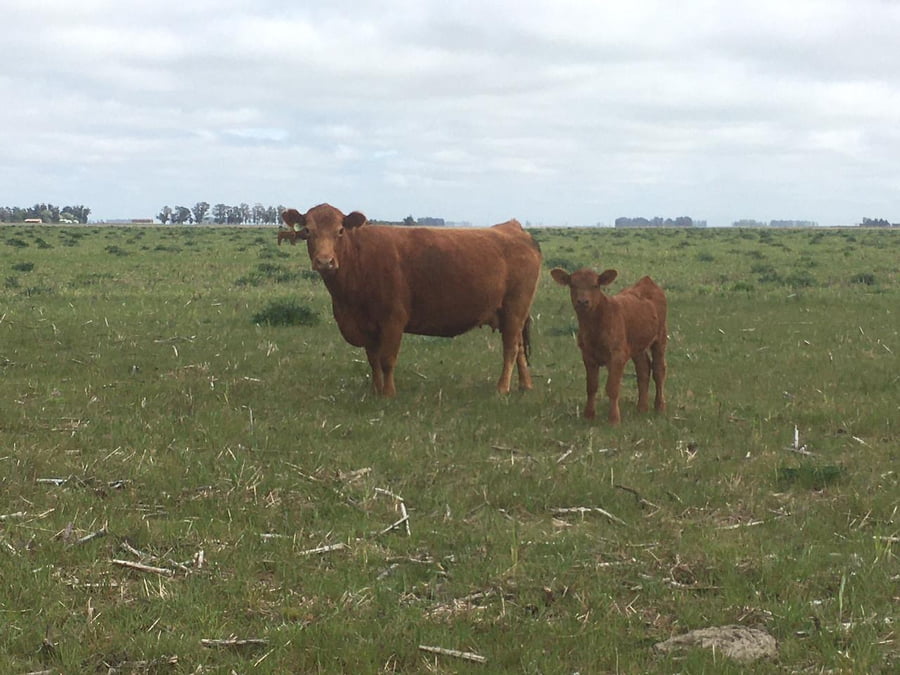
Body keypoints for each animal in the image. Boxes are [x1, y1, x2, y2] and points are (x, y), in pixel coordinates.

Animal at [282, 203, 542, 397]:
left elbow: (387, 359)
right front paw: (375, 390)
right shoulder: (366, 325)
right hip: (510, 314)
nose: (325, 261)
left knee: (510, 348)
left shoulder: (393, 319)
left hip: (515, 307)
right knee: (519, 347)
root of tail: (513, 228)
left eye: (340, 231)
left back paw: (502, 388)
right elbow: (372, 360)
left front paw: (388, 393)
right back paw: (525, 385)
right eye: (308, 231)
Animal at [551, 267, 667, 424]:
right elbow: (591, 386)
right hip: (637, 345)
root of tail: (647, 281)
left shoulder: (617, 355)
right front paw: (589, 415)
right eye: (572, 285)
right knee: (643, 368)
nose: (582, 301)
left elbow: (612, 387)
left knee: (658, 370)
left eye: (595, 285)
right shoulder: (587, 355)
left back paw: (659, 406)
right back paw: (642, 408)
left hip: (660, 337)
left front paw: (614, 419)